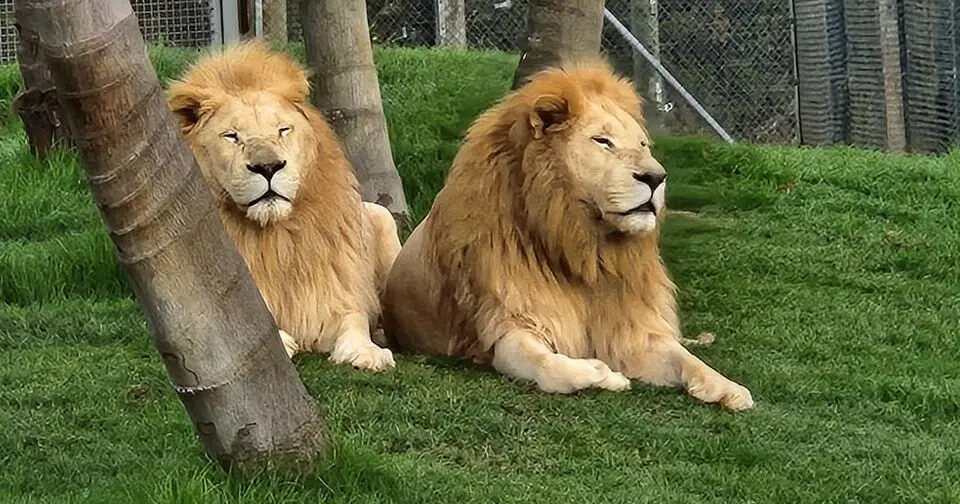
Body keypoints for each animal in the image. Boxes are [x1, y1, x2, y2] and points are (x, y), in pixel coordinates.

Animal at [166, 42, 401, 372]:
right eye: (232, 136)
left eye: (282, 130)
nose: (268, 167)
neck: (279, 238)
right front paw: (283, 342)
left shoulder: (337, 294)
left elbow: (354, 320)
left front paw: (367, 352)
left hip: (382, 216)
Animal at [382, 61, 754, 410]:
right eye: (603, 141)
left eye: (642, 144)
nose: (656, 177)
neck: (583, 248)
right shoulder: (509, 325)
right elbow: (551, 366)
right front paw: (607, 375)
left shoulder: (632, 330)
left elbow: (684, 358)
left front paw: (730, 388)